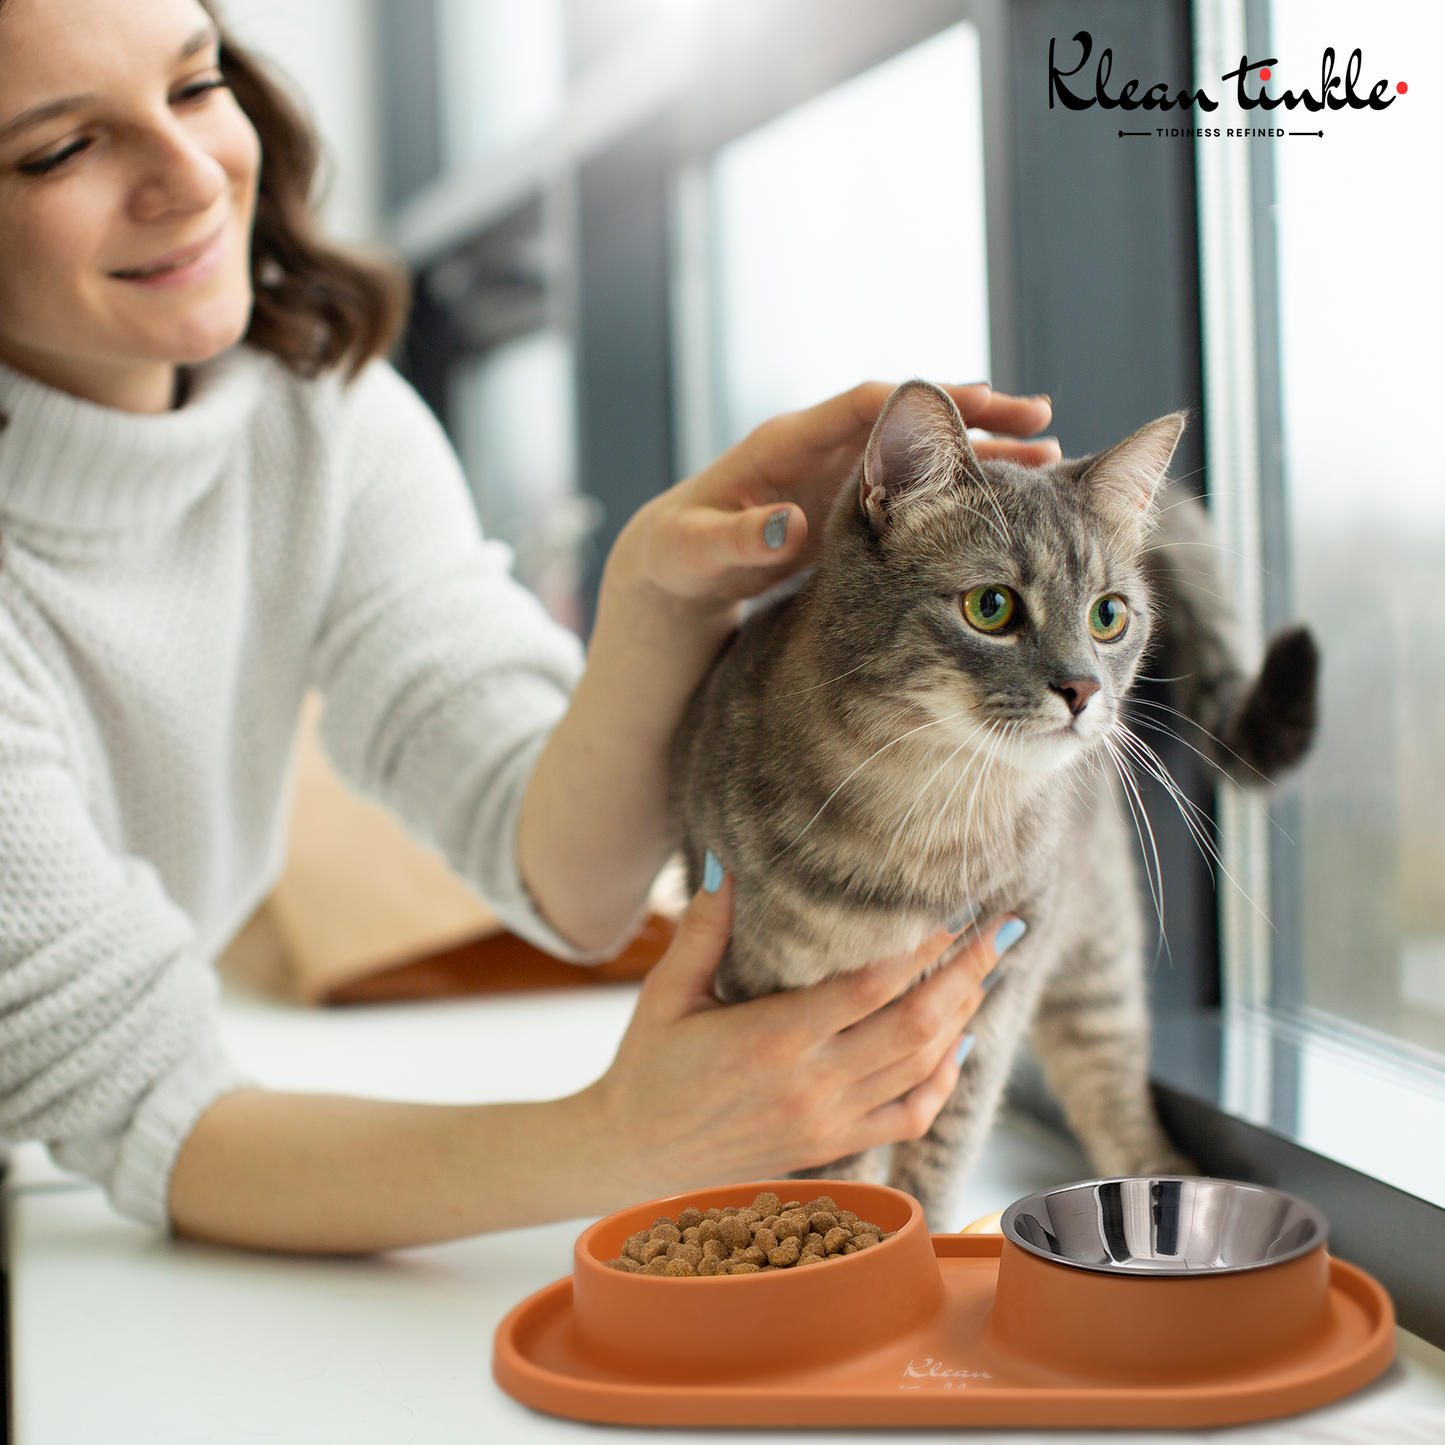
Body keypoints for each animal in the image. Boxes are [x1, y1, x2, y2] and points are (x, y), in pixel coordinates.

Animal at [670, 375, 1317, 1219]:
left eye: (1108, 614)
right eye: (991, 607)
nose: (1082, 688)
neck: (927, 819)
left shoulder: (995, 998)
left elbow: (940, 1151)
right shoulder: (788, 1027)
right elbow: (834, 1167)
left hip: (1093, 965)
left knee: (1121, 1111)